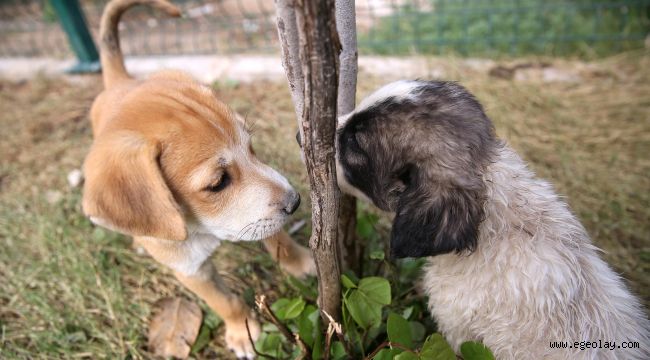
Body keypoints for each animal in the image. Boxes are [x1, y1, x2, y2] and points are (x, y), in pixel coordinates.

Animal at [82, 0, 316, 358]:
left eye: (251, 147)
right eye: (217, 183)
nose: (296, 202)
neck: (199, 227)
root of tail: (119, 83)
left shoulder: (257, 214)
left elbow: (279, 241)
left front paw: (302, 263)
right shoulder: (192, 271)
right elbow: (225, 303)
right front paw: (243, 333)